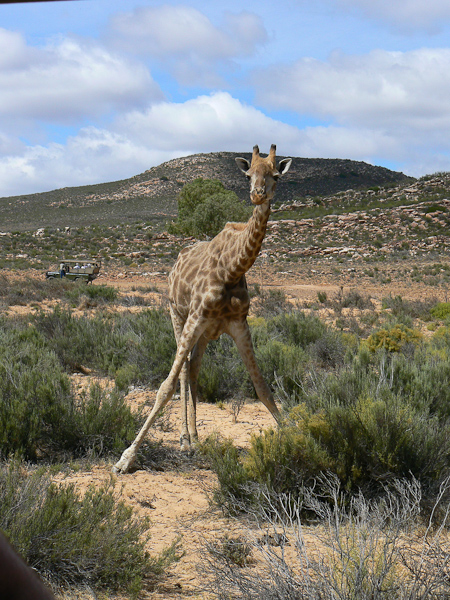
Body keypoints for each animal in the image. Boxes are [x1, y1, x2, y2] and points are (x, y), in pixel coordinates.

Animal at [113, 145, 292, 474]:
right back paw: (185, 439)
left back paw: (194, 438)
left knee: (194, 368)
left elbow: (262, 386)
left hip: (206, 333)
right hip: (178, 315)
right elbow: (165, 386)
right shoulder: (195, 316)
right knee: (184, 370)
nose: (258, 194)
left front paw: (295, 433)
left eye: (276, 175)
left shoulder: (238, 324)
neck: (232, 269)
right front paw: (126, 458)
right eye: (248, 174)